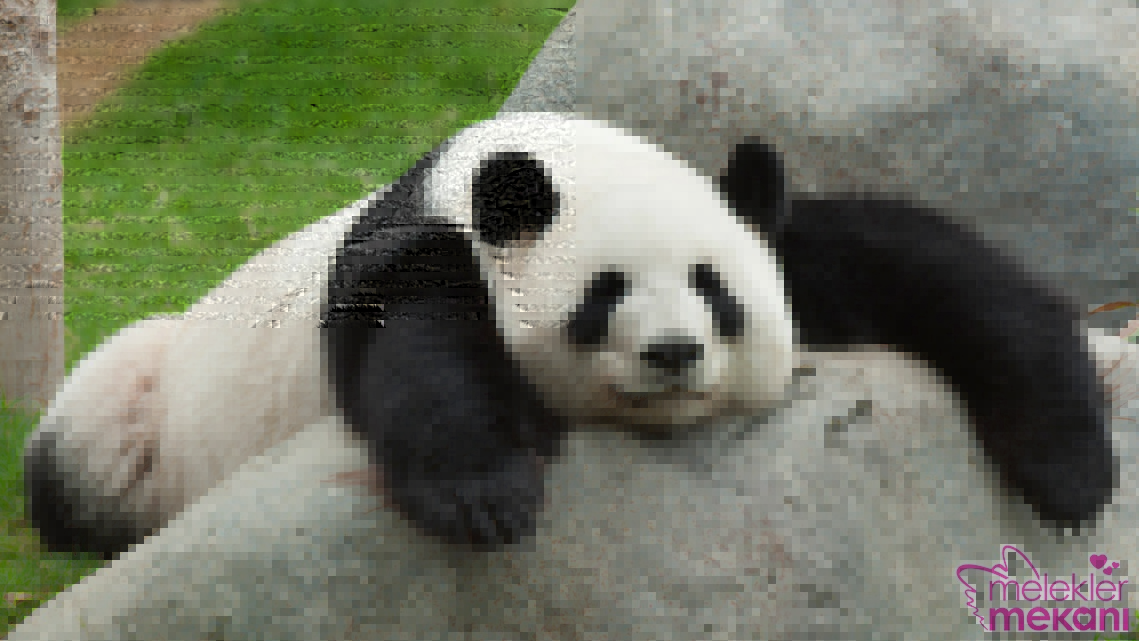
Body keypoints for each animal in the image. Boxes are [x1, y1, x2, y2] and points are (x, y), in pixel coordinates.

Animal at [24, 112, 1113, 558]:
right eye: (604, 294)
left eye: (713, 291)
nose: (672, 353)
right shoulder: (420, 248)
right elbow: (415, 353)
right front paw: (488, 494)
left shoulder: (765, 226)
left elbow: (938, 273)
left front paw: (1070, 475)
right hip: (142, 402)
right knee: (84, 442)